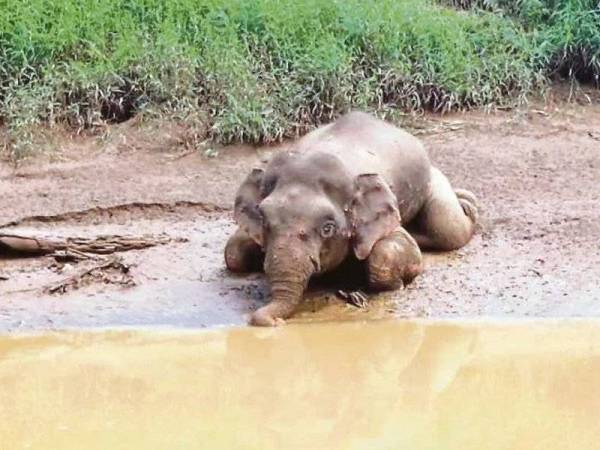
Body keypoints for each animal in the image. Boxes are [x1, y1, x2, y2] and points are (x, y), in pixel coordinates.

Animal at [224, 110, 478, 326]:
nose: (276, 322)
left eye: (327, 228)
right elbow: (233, 252)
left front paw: (394, 285)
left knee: (448, 228)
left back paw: (469, 205)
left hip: (432, 181)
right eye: (263, 220)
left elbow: (390, 252)